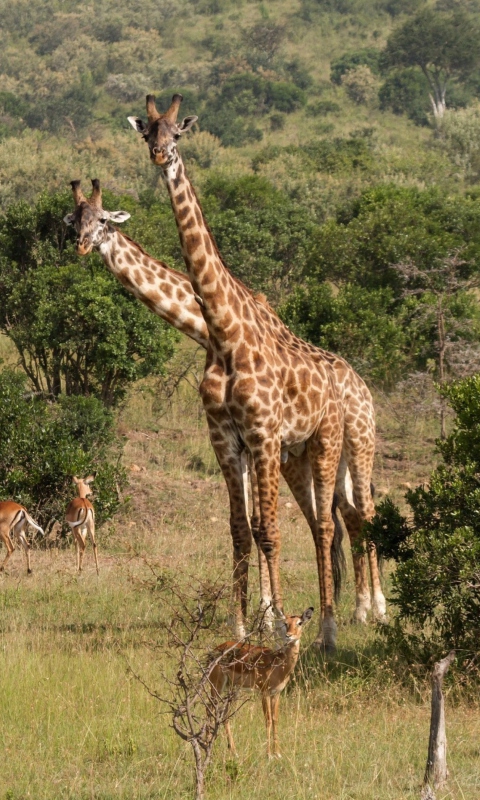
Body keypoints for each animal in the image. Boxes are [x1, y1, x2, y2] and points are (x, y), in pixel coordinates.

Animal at [128, 94, 386, 648]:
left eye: (177, 134)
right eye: (147, 134)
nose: (161, 157)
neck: (224, 335)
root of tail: (349, 383)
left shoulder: (263, 435)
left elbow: (269, 529)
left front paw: (279, 626)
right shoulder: (227, 438)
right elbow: (241, 529)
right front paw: (244, 627)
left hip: (339, 442)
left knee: (341, 521)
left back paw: (340, 624)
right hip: (301, 454)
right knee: (331, 522)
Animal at [208, 608, 314, 756]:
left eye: (300, 622)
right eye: (285, 623)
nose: (289, 636)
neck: (278, 664)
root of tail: (216, 650)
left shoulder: (276, 693)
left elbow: (275, 720)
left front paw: (278, 753)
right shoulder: (264, 692)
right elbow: (267, 720)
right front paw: (269, 754)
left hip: (233, 689)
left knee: (225, 714)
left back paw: (234, 751)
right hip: (217, 687)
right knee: (209, 710)